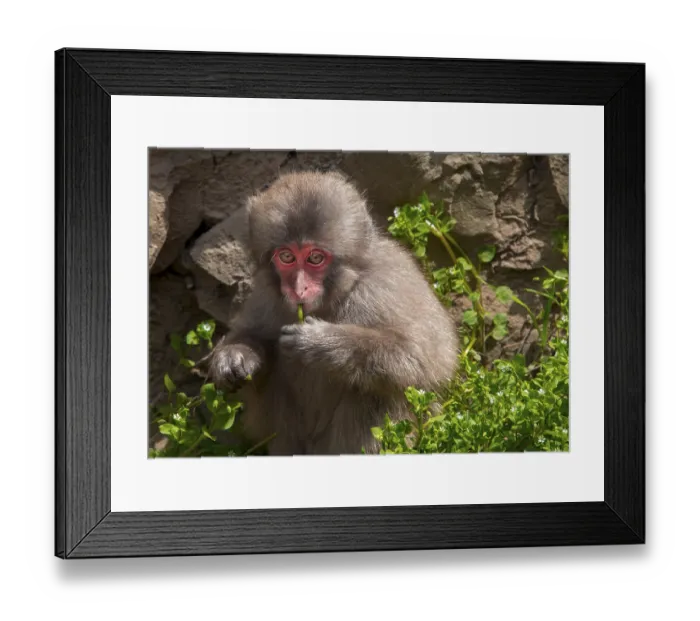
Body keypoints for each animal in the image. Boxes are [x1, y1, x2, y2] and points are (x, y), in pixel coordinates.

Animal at [201, 170, 459, 456]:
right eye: (287, 257)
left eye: (315, 258)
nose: (299, 288)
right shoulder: (265, 296)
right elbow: (252, 337)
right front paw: (235, 356)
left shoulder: (386, 284)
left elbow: (422, 357)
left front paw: (320, 343)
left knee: (377, 390)